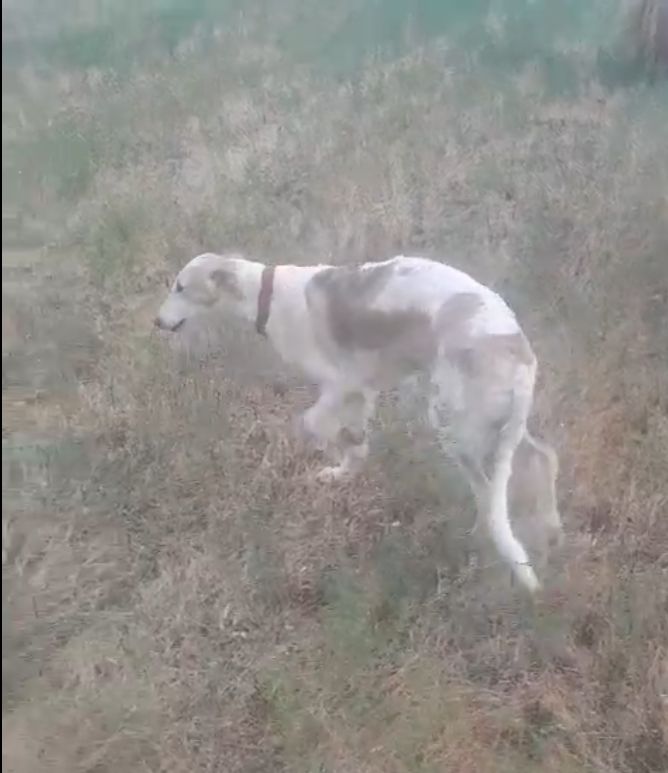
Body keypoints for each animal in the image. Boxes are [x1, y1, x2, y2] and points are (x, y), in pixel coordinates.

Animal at [156, 252, 562, 593]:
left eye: (181, 287)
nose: (156, 322)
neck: (266, 297)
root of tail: (516, 347)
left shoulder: (340, 385)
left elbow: (313, 425)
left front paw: (336, 461)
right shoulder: (359, 392)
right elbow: (354, 440)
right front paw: (343, 471)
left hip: (456, 425)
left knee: (489, 490)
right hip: (497, 425)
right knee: (542, 458)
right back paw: (550, 529)